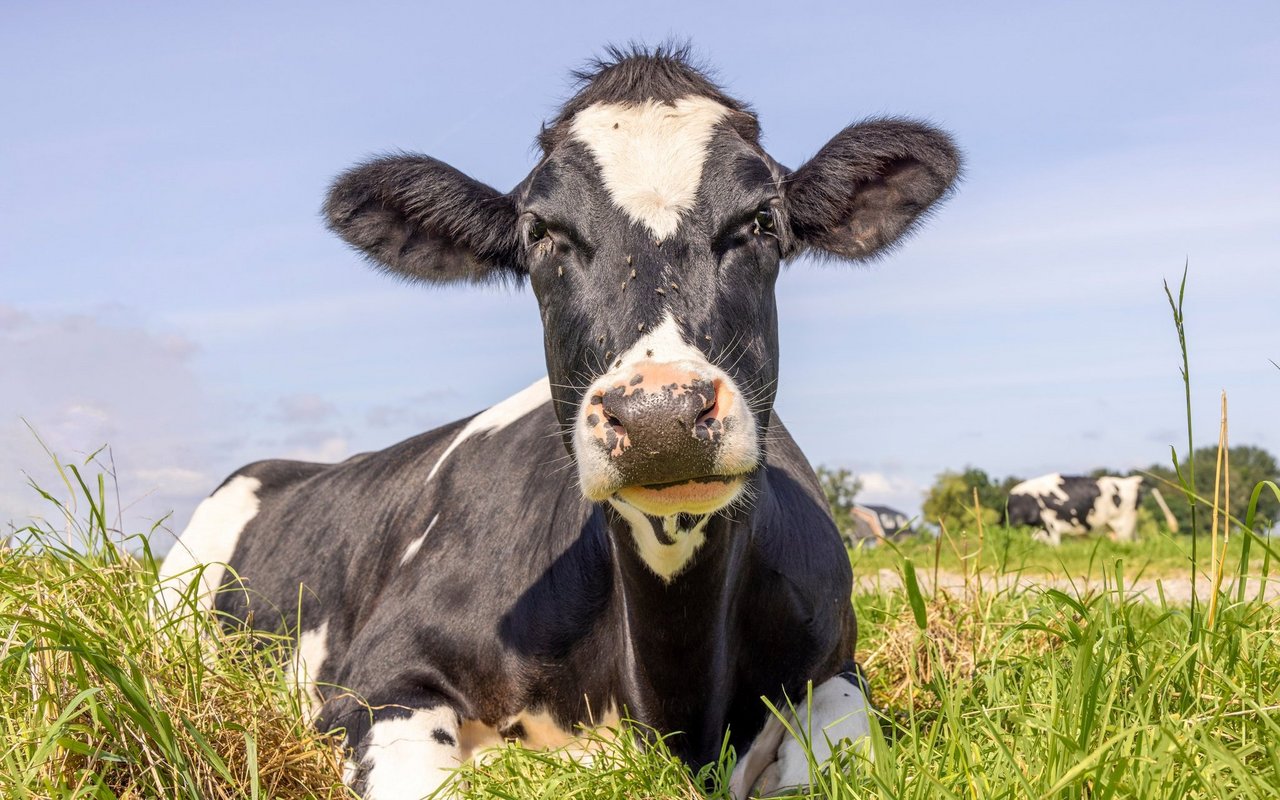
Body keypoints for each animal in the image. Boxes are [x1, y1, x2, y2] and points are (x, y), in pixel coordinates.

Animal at [160, 45, 962, 798]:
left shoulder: (836, 666)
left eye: (762, 219)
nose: (660, 413)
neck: (675, 694)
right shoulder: (378, 679)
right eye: (542, 232)